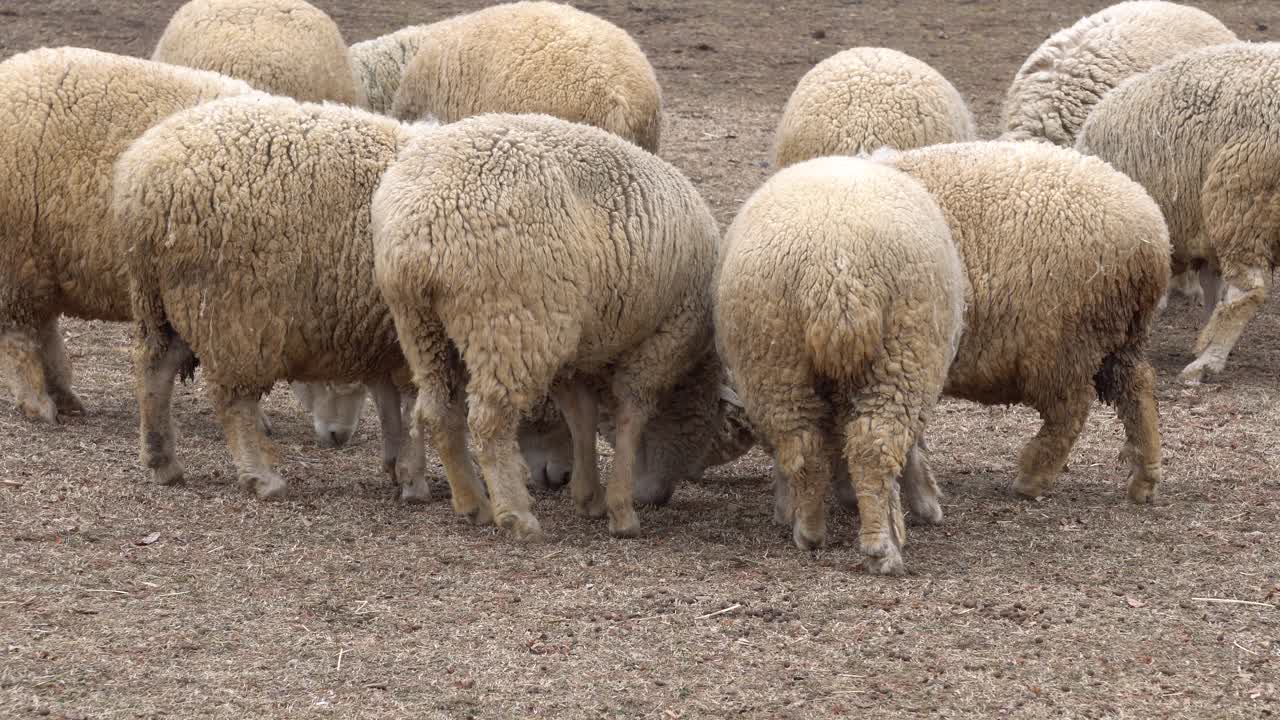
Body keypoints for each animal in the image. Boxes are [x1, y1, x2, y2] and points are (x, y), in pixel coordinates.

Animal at [0, 47, 257, 424]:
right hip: (15, 255)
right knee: (18, 333)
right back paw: (38, 403)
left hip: (42, 261)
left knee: (42, 328)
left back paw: (64, 396)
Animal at [113, 94, 425, 500]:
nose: (338, 437)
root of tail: (139, 179)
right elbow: (416, 406)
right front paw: (413, 478)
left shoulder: (384, 335)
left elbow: (391, 403)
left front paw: (396, 467)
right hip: (233, 309)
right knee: (233, 399)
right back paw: (261, 477)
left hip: (168, 301)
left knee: (155, 365)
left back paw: (161, 460)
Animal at [372, 113, 720, 541]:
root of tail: (419, 224)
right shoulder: (663, 340)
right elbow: (630, 416)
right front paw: (621, 510)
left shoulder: (577, 349)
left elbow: (581, 415)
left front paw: (590, 497)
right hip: (511, 322)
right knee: (487, 421)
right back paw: (515, 514)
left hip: (422, 327)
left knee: (439, 411)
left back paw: (473, 503)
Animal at [716, 155, 967, 575]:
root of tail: (836, 275)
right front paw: (926, 504)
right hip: (906, 354)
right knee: (872, 446)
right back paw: (879, 546)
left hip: (776, 363)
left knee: (804, 445)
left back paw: (812, 530)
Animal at [874, 141, 1169, 507]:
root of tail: (1152, 236)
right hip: (1122, 335)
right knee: (1137, 386)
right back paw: (1145, 477)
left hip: (1064, 339)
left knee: (1071, 408)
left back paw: (1032, 477)